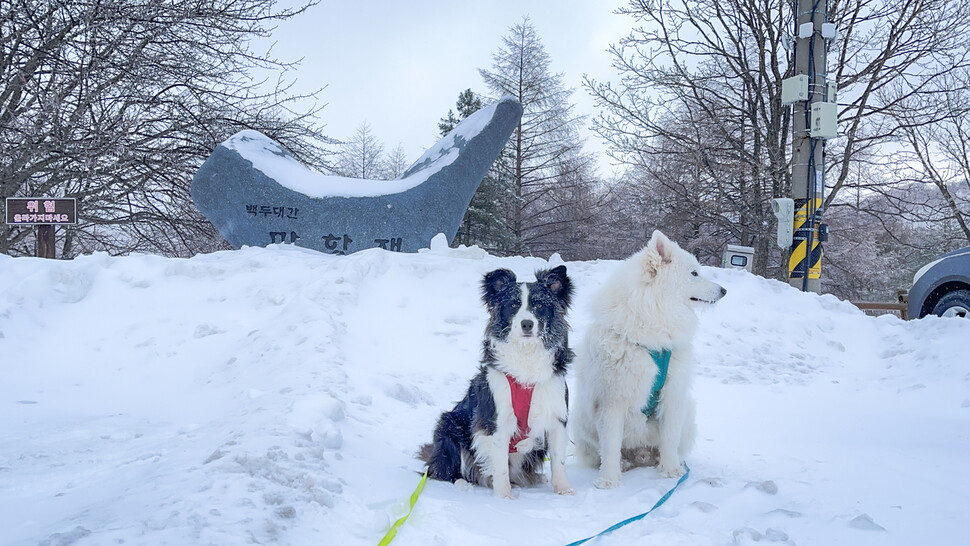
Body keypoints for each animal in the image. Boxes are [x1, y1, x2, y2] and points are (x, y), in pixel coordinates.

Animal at [418, 264, 576, 498]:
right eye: (513, 305)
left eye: (539, 305)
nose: (527, 324)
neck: (526, 355)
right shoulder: (496, 420)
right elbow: (500, 465)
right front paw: (503, 497)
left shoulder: (556, 415)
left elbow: (558, 460)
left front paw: (564, 490)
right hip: (449, 424)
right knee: (442, 468)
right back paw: (463, 483)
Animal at [572, 228, 724, 484]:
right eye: (694, 273)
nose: (724, 290)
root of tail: (640, 455)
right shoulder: (612, 400)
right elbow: (610, 445)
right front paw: (609, 481)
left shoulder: (673, 395)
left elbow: (670, 439)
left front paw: (671, 472)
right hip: (582, 418)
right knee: (602, 450)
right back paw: (622, 464)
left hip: (687, 411)